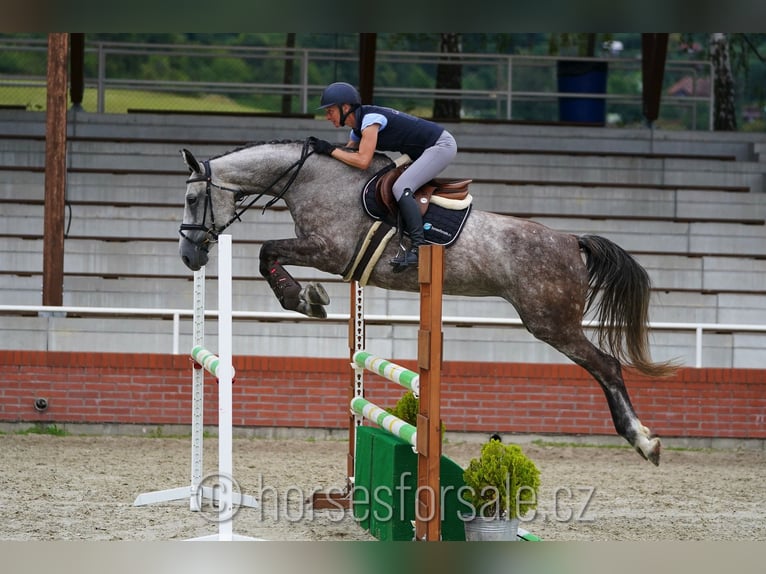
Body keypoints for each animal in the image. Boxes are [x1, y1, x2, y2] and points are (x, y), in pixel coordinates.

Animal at [178, 140, 680, 468]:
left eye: (191, 197)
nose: (189, 256)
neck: (311, 179)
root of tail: (572, 240)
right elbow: (270, 255)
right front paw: (307, 297)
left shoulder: (328, 250)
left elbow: (267, 252)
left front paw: (303, 298)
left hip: (551, 323)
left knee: (607, 366)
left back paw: (644, 441)